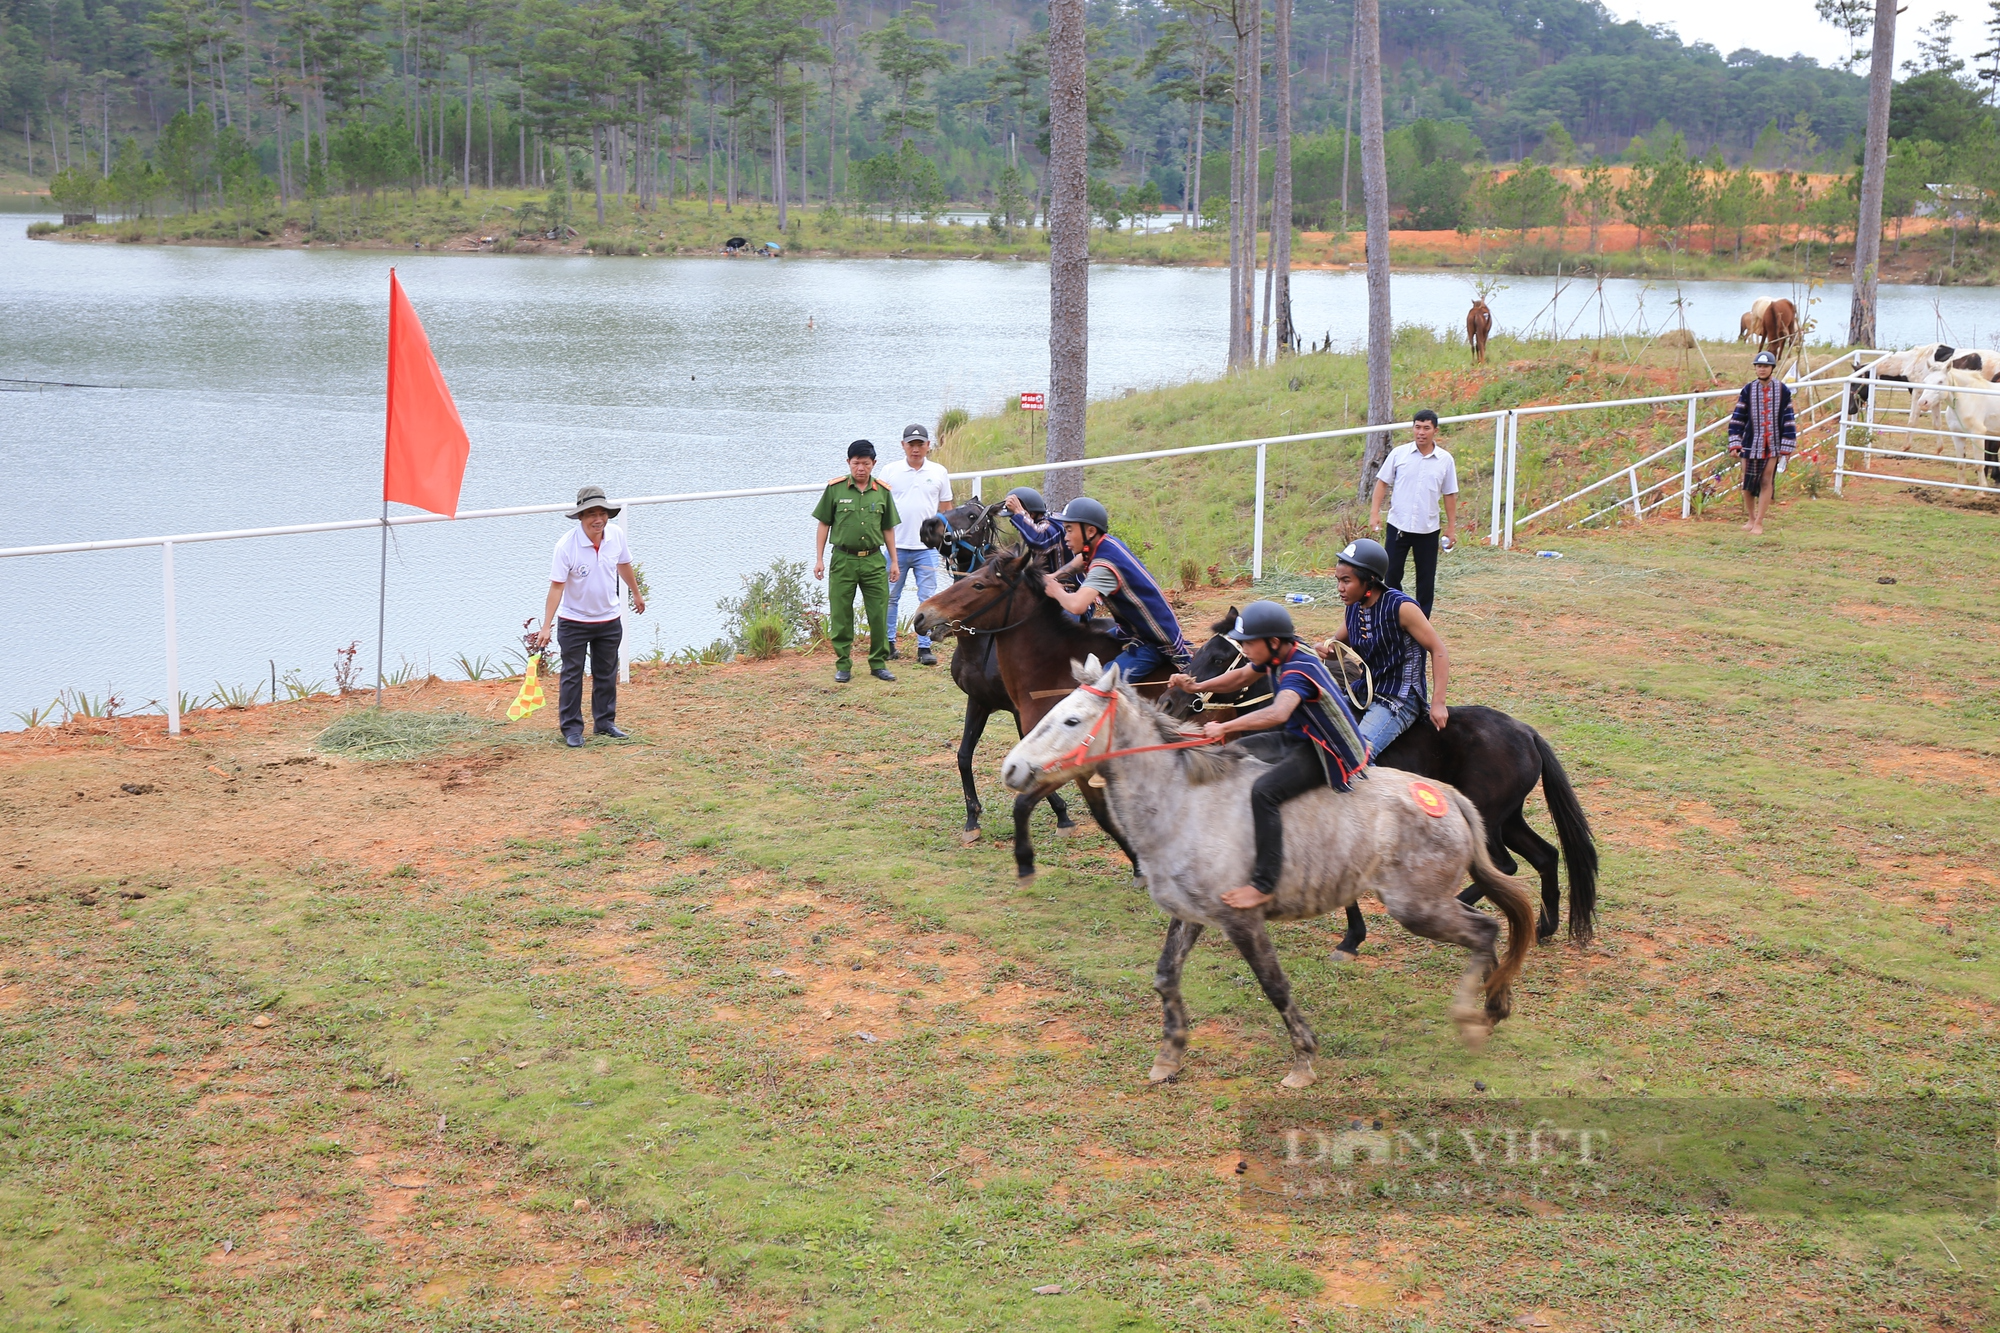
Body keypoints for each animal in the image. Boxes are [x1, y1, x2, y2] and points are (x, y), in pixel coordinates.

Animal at [912, 544, 1168, 888]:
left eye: (979, 585)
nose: (921, 615)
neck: (1053, 667)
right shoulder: (981, 703)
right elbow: (965, 756)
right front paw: (973, 820)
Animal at [1000, 660, 1528, 1088]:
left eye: (1072, 720)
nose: (1012, 768)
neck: (1185, 803)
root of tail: (1449, 797)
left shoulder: (1242, 921)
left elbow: (1275, 986)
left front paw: (1303, 1061)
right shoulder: (1190, 914)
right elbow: (1166, 977)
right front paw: (1169, 1056)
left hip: (1418, 907)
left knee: (1486, 930)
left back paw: (1476, 1016)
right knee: (1490, 932)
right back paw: (1492, 1005)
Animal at [1168, 616, 1592, 956]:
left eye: (1221, 658)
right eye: (1202, 650)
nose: (1172, 698)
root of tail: (1527, 732)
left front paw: (1352, 937)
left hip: (1489, 820)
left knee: (1505, 865)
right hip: (1508, 818)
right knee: (1545, 855)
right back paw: (1545, 926)